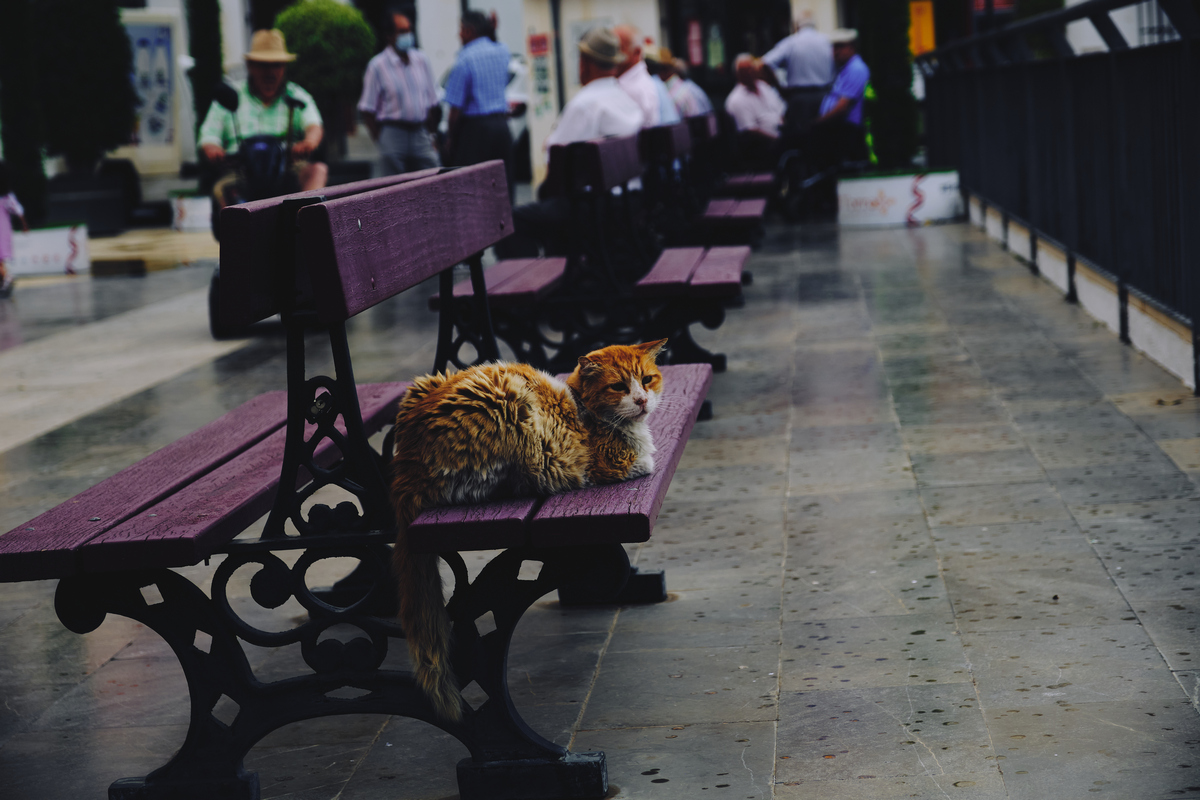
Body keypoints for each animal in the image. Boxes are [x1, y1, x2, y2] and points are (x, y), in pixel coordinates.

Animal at [388, 338, 667, 719]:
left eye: (648, 379)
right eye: (618, 387)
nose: (641, 400)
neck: (585, 409)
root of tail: (406, 465)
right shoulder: (613, 463)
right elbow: (647, 459)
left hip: (428, 382)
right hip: (511, 407)